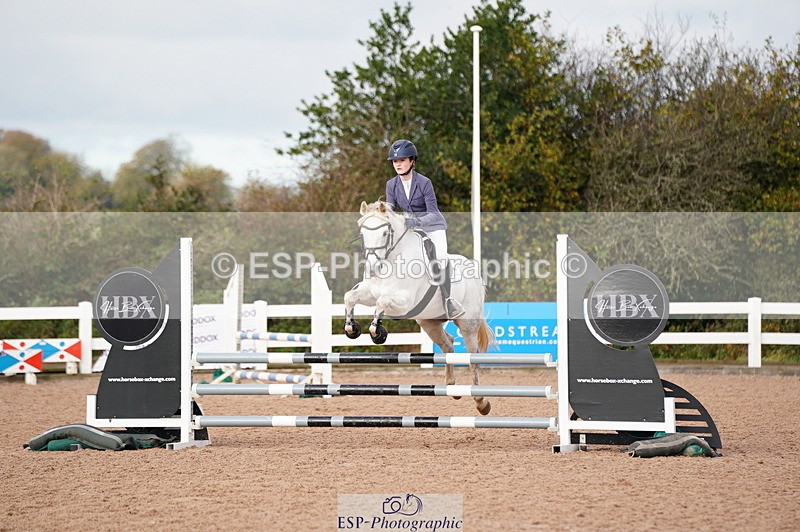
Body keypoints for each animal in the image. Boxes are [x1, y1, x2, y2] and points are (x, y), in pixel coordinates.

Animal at [343, 200, 495, 415]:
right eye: (363, 233)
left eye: (384, 233)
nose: (372, 268)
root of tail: (475, 272)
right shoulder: (370, 293)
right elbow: (350, 297)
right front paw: (351, 329)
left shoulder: (404, 301)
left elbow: (382, 303)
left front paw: (377, 333)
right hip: (429, 322)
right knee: (448, 344)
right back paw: (452, 386)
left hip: (468, 323)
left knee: (473, 356)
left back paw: (481, 401)